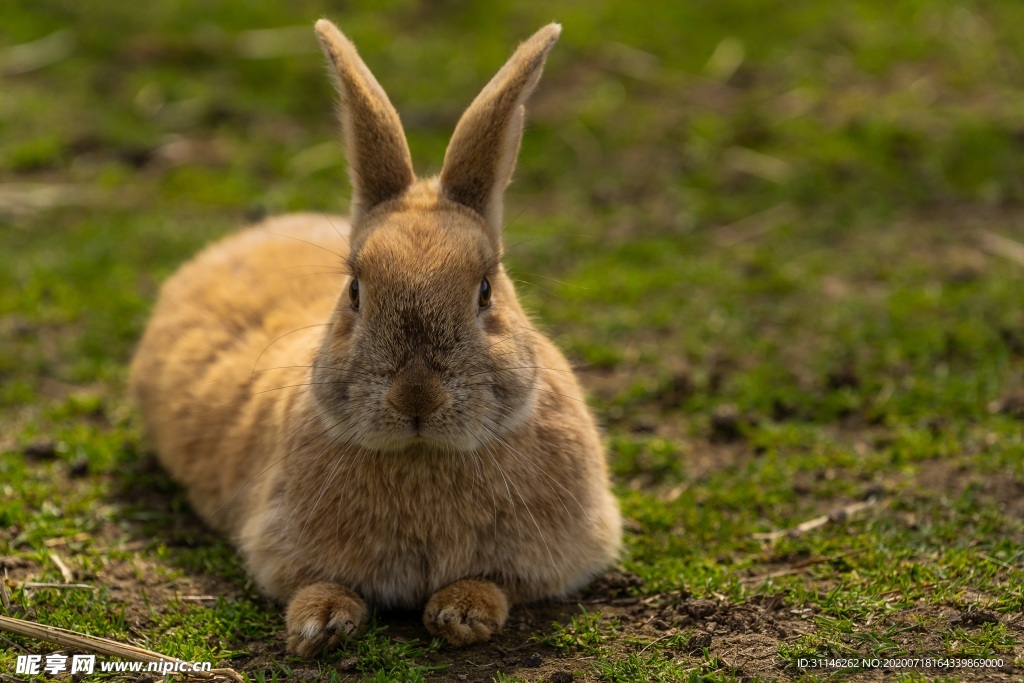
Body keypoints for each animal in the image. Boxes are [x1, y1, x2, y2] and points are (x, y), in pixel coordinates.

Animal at [130, 17, 622, 655]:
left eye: (485, 291)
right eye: (355, 291)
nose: (417, 398)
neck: (422, 454)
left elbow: (497, 583)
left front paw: (463, 612)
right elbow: (317, 583)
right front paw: (319, 623)